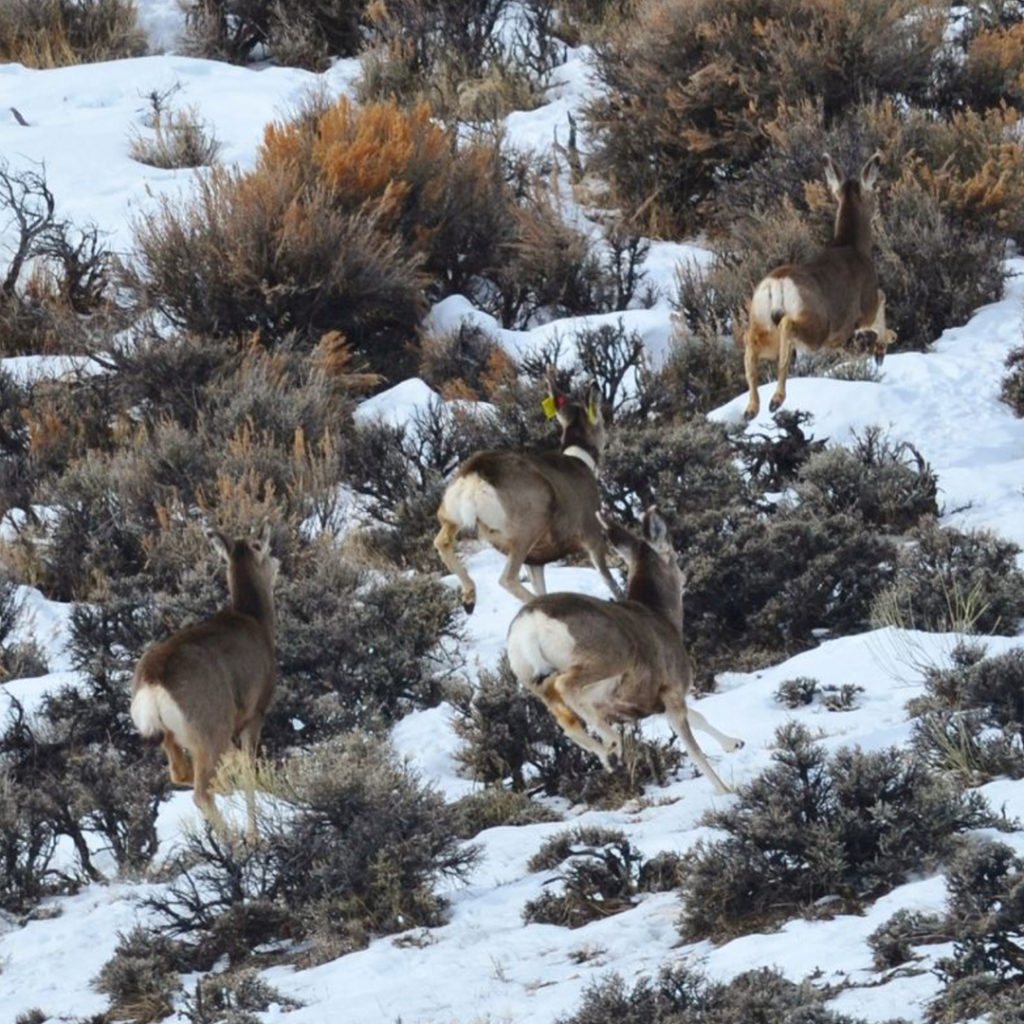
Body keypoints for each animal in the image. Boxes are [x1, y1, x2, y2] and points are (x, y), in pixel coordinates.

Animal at [128, 524, 280, 835]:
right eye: (266, 549)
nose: (278, 563)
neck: (256, 621)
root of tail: (151, 682)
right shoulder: (255, 712)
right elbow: (249, 770)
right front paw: (254, 836)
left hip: (173, 734)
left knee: (180, 773)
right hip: (211, 726)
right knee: (201, 792)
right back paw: (235, 840)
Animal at [434, 366, 618, 610]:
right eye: (602, 422)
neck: (581, 460)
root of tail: (475, 475)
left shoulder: (537, 559)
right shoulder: (592, 531)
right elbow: (609, 580)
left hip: (451, 511)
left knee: (441, 540)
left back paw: (469, 597)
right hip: (530, 521)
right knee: (507, 578)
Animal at [505, 507, 741, 794]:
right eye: (673, 554)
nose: (685, 576)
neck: (663, 617)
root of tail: (531, 623)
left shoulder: (652, 703)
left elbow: (699, 717)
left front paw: (734, 743)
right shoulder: (671, 690)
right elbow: (692, 745)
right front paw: (724, 790)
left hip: (534, 680)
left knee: (566, 720)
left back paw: (608, 756)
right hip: (610, 658)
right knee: (567, 687)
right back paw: (614, 744)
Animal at [741, 150, 892, 419]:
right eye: (873, 191)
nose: (879, 209)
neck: (854, 247)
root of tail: (777, 284)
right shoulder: (862, 309)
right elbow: (882, 298)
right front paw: (880, 351)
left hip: (762, 322)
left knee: (751, 343)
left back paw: (752, 408)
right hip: (817, 327)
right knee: (788, 329)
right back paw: (776, 399)